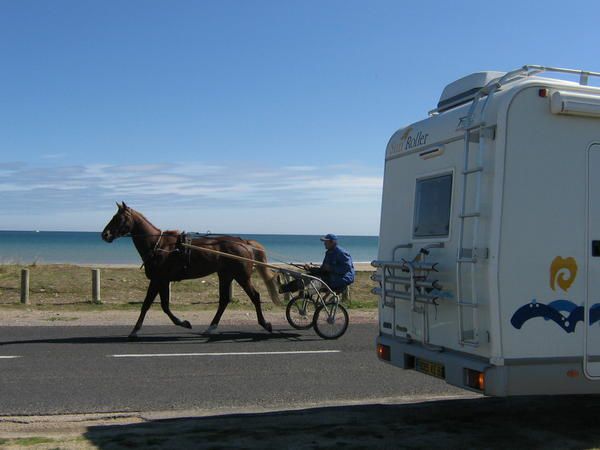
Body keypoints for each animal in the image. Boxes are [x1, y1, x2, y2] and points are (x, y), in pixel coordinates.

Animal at [101, 203, 282, 338]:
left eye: (118, 218)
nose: (105, 234)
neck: (158, 245)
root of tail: (243, 242)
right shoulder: (163, 281)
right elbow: (164, 306)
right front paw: (183, 323)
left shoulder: (157, 280)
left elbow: (147, 305)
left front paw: (135, 330)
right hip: (226, 275)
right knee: (224, 300)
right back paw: (211, 327)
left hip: (241, 276)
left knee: (255, 296)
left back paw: (265, 324)